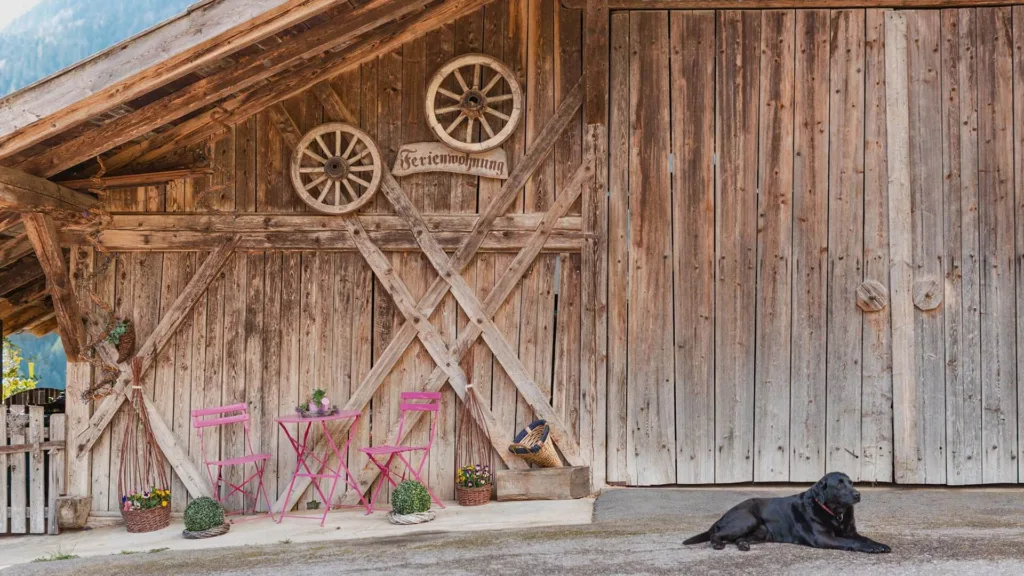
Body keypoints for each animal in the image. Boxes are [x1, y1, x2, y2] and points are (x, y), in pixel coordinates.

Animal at [684, 471, 892, 553]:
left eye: (851, 483)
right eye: (839, 485)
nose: (858, 494)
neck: (835, 513)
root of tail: (723, 516)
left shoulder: (851, 532)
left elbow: (864, 538)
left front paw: (879, 545)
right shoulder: (823, 537)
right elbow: (851, 542)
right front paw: (871, 548)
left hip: (761, 533)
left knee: (738, 539)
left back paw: (743, 544)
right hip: (746, 520)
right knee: (716, 535)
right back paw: (718, 543)